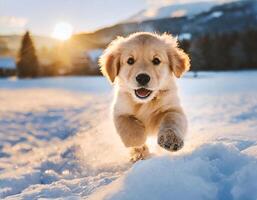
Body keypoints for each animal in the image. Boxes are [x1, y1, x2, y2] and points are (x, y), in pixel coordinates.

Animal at [99, 31, 189, 162]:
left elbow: (171, 121)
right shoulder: (120, 112)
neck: (145, 102)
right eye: (130, 61)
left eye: (156, 61)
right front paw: (139, 145)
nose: (142, 78)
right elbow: (130, 129)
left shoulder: (173, 108)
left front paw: (171, 140)